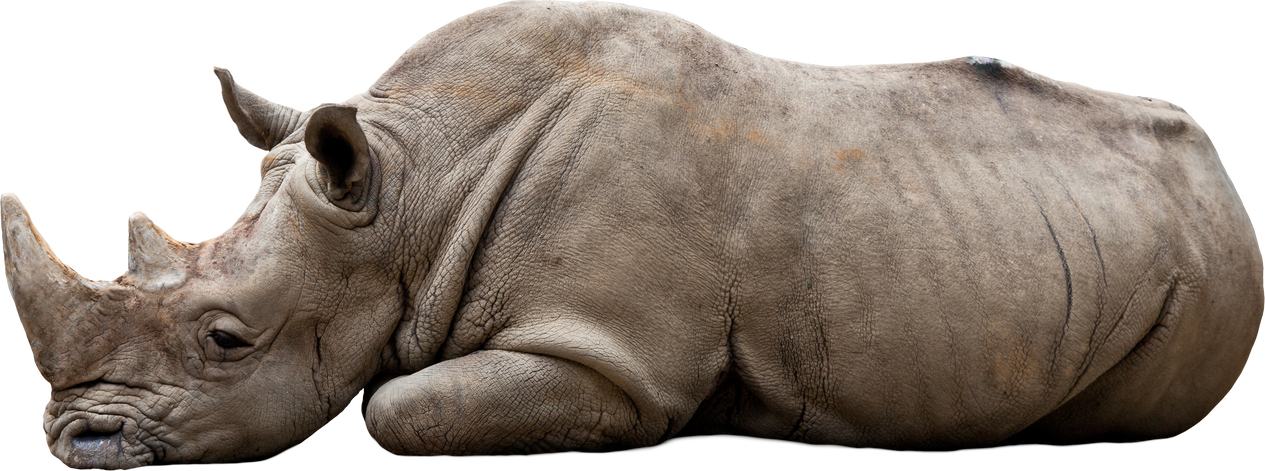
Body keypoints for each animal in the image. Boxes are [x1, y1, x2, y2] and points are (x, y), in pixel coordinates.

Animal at [3, 0, 1261, 469]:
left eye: (226, 339)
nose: (72, 444)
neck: (407, 195)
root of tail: (1222, 174)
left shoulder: (609, 355)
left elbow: (402, 413)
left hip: (1206, 272)